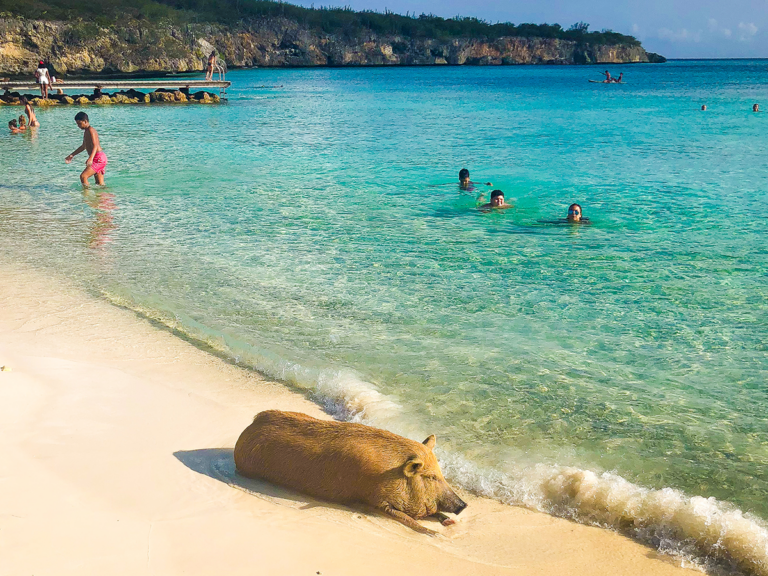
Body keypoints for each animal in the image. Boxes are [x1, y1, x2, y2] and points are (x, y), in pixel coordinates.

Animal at [231, 410, 464, 536]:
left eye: (441, 474)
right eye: (431, 477)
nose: (463, 505)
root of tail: (250, 425)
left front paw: (449, 523)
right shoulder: (375, 500)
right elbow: (406, 519)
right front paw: (436, 535)